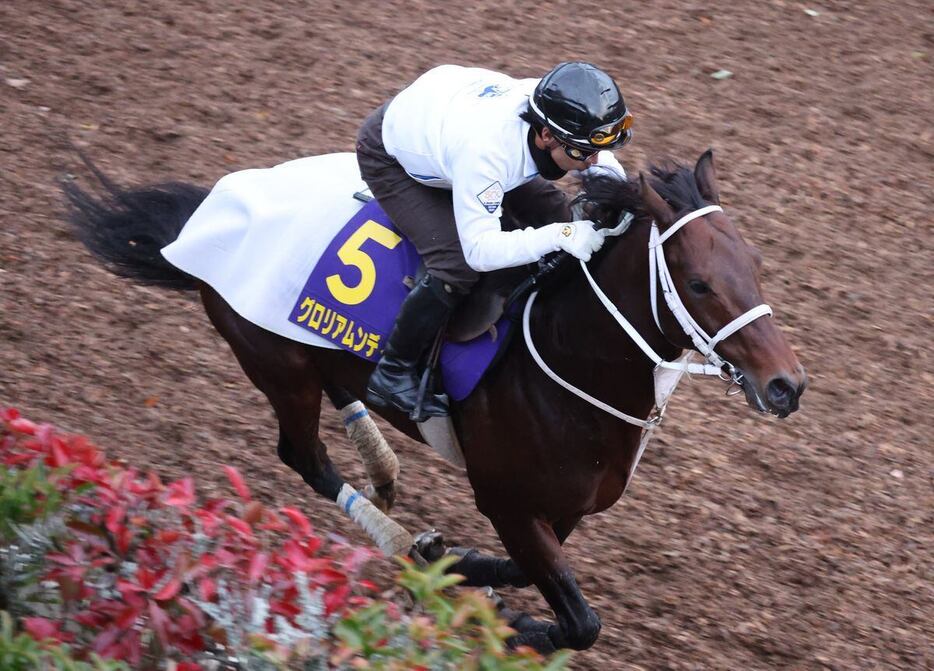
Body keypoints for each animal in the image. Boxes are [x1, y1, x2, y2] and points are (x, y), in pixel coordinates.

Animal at [67, 148, 812, 656]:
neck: (567, 356)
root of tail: (207, 215)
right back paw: (393, 530)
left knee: (347, 394)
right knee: (303, 454)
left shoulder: (563, 506)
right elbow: (580, 621)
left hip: (322, 354)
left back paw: (387, 474)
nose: (787, 385)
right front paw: (503, 611)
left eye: (755, 265)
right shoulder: (507, 500)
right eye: (699, 282)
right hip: (278, 364)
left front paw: (455, 563)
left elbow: (526, 573)